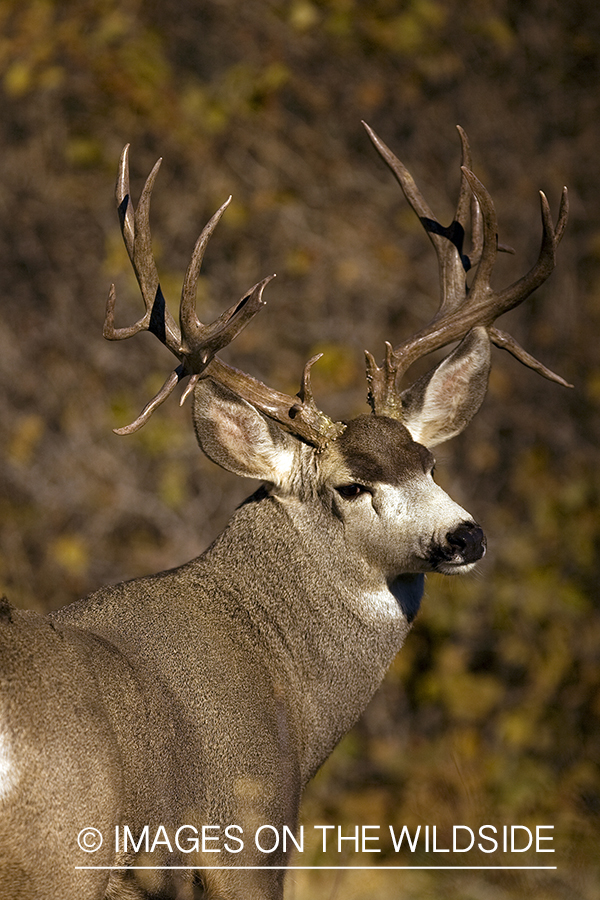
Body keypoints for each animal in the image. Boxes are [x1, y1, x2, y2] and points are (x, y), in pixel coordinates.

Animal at [0, 123, 569, 900]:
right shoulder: (247, 834)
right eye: (351, 486)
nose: (466, 535)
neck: (290, 692)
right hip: (61, 856)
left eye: (428, 461)